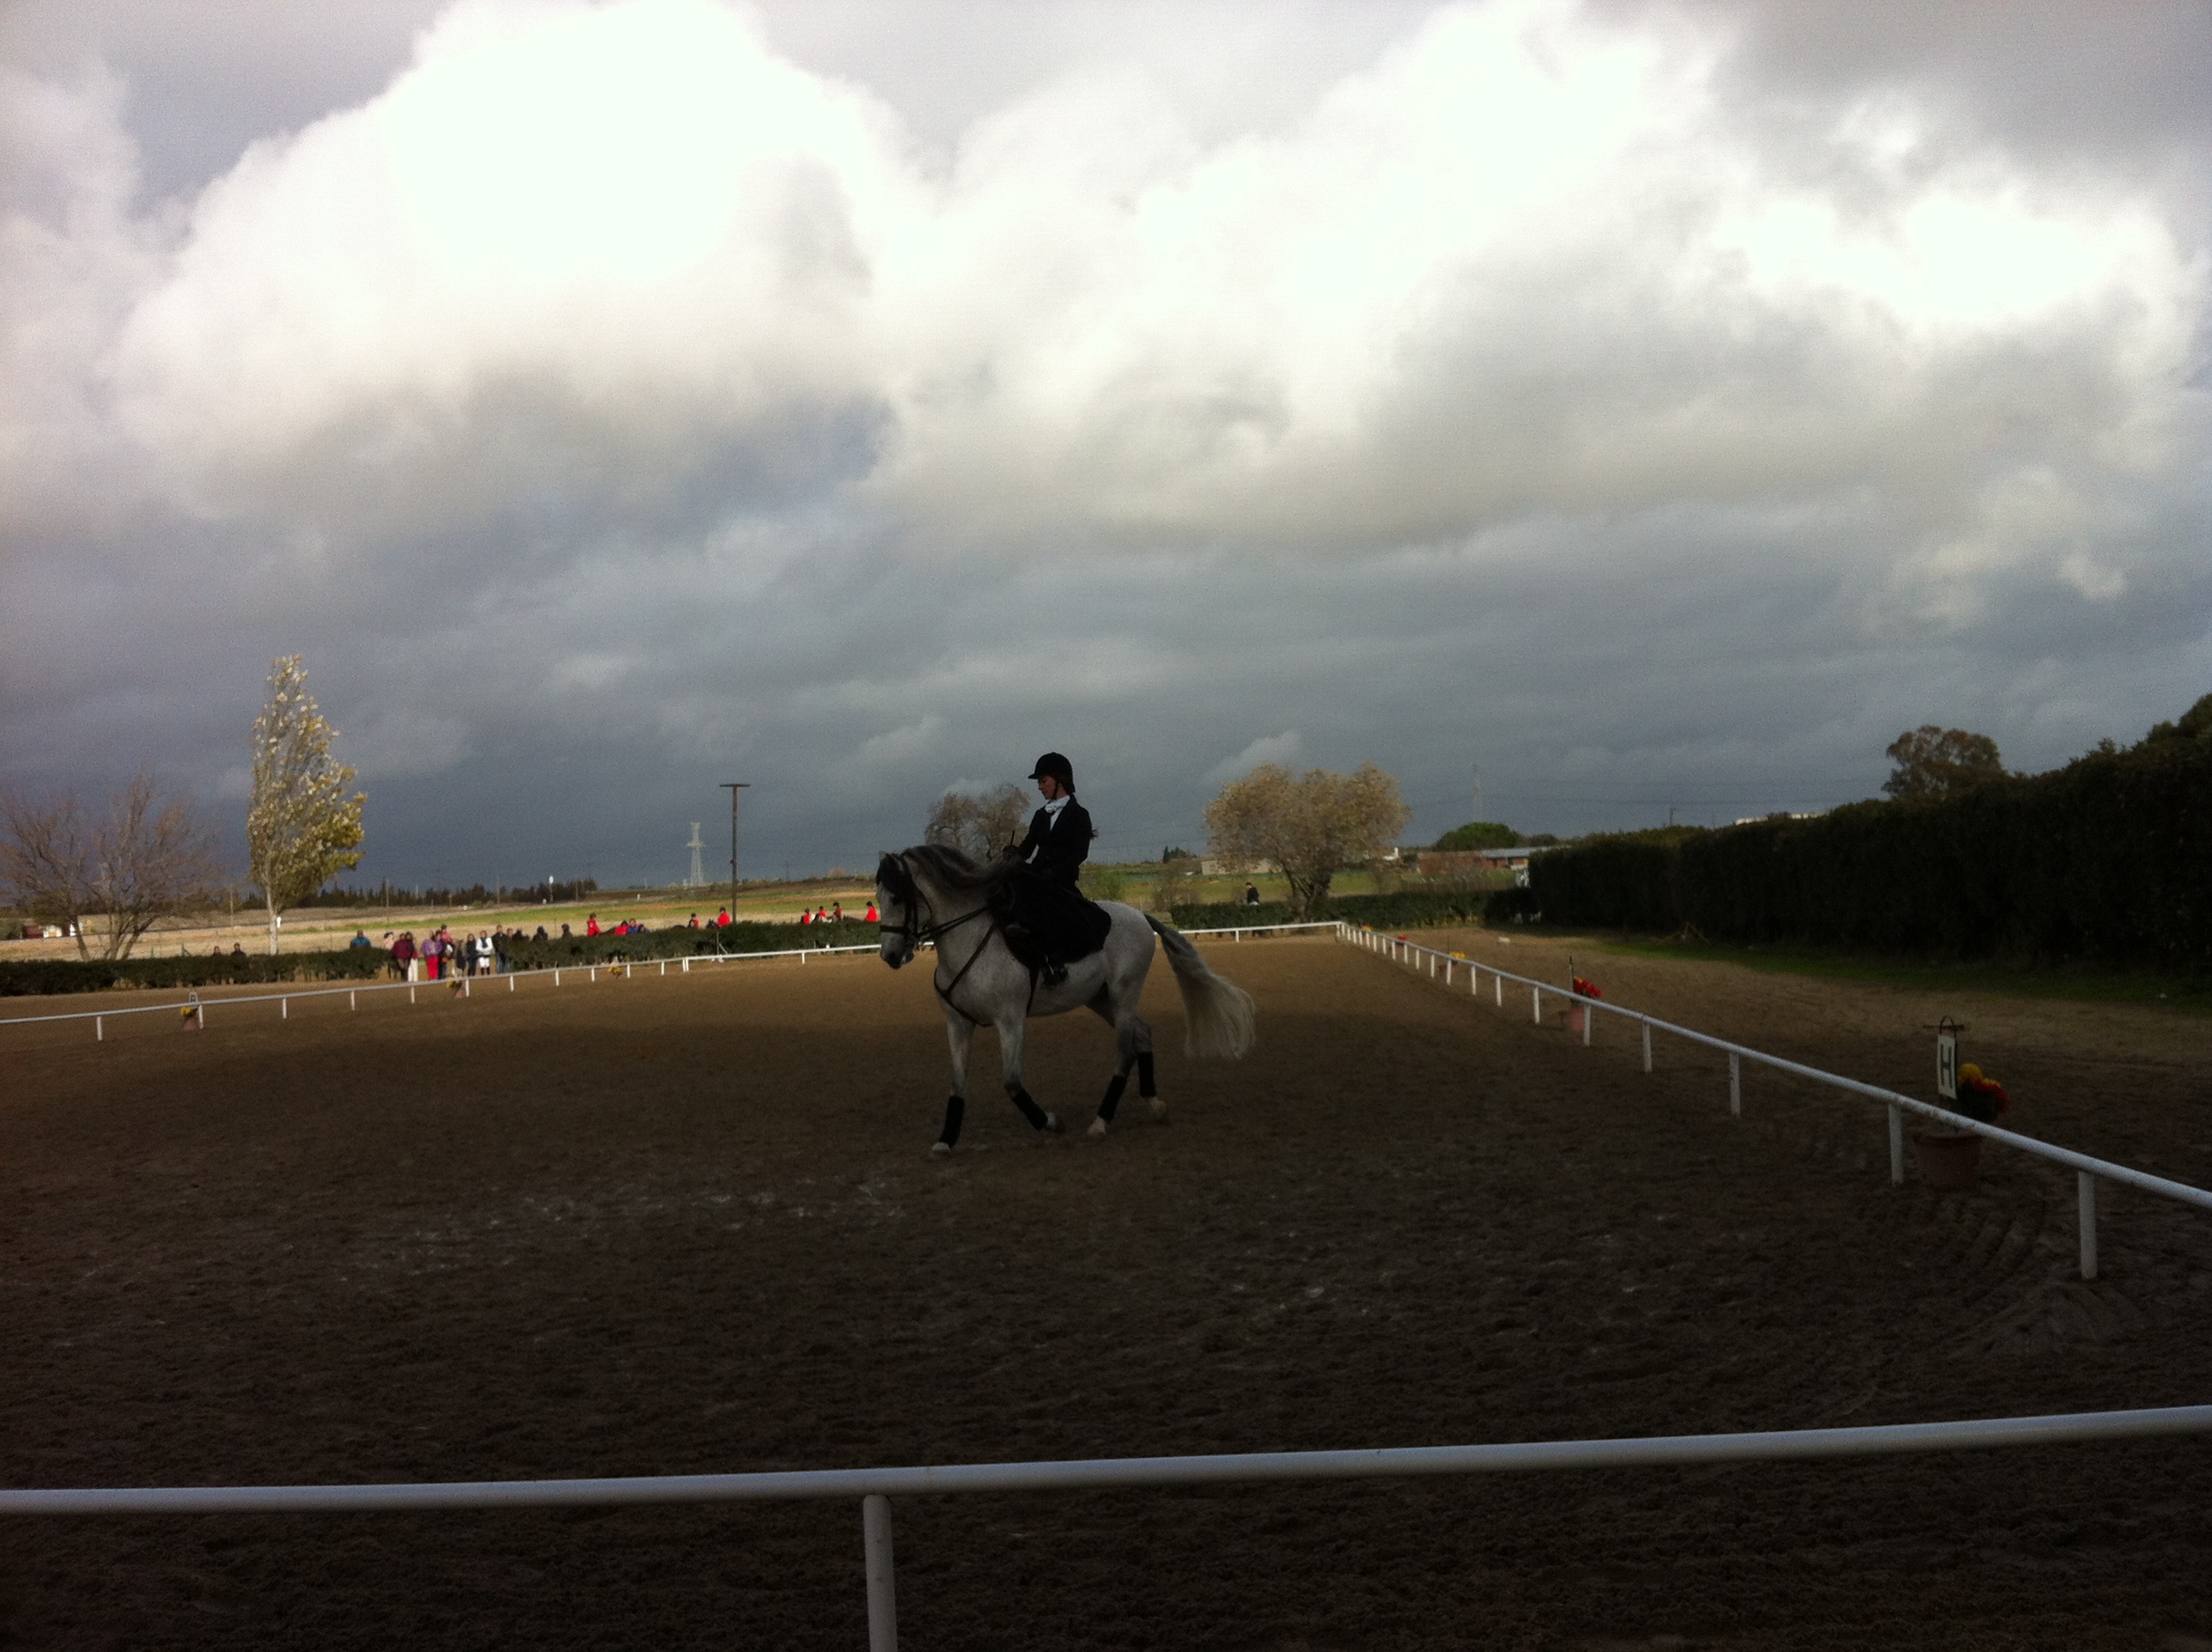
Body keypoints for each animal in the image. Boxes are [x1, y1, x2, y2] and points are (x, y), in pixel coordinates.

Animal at [875, 844, 1256, 1154]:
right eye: (878, 898)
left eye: (896, 898)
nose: (889, 955)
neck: (967, 940)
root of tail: (1138, 914)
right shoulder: (957, 1024)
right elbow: (957, 1084)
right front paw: (945, 1140)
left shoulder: (1010, 1020)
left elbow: (1012, 1083)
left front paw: (1050, 1122)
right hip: (1101, 1000)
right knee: (1142, 1035)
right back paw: (1154, 1105)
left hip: (1124, 994)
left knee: (1124, 1052)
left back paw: (1101, 1123)